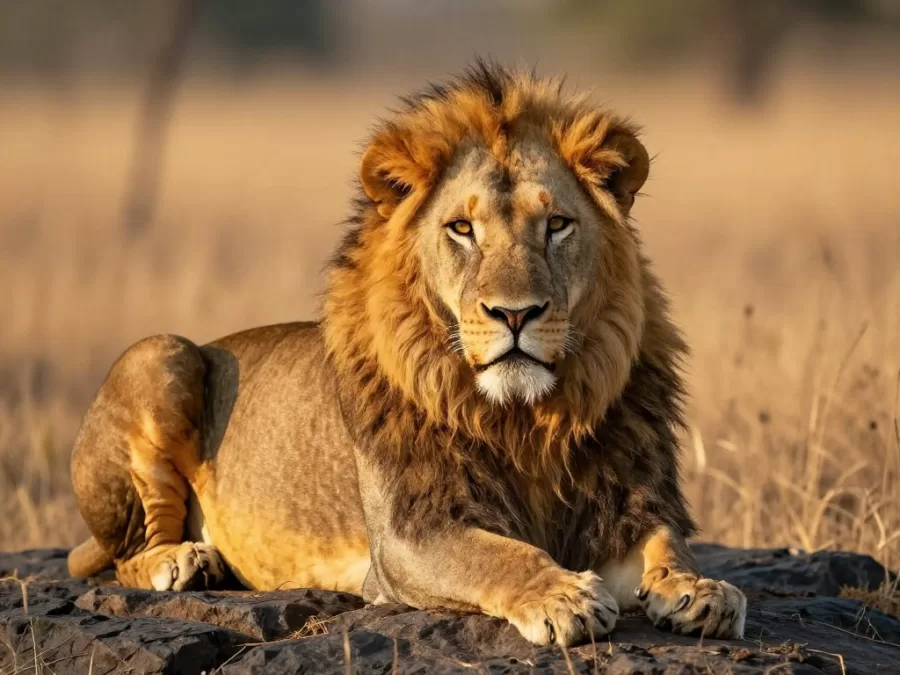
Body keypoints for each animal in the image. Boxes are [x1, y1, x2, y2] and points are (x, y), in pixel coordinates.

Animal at [67, 61, 746, 646]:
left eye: (557, 225)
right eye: (462, 229)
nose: (515, 314)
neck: (526, 419)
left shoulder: (623, 506)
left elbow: (668, 545)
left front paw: (703, 591)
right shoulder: (406, 535)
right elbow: (498, 554)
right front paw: (562, 597)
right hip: (162, 353)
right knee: (124, 558)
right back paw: (182, 561)